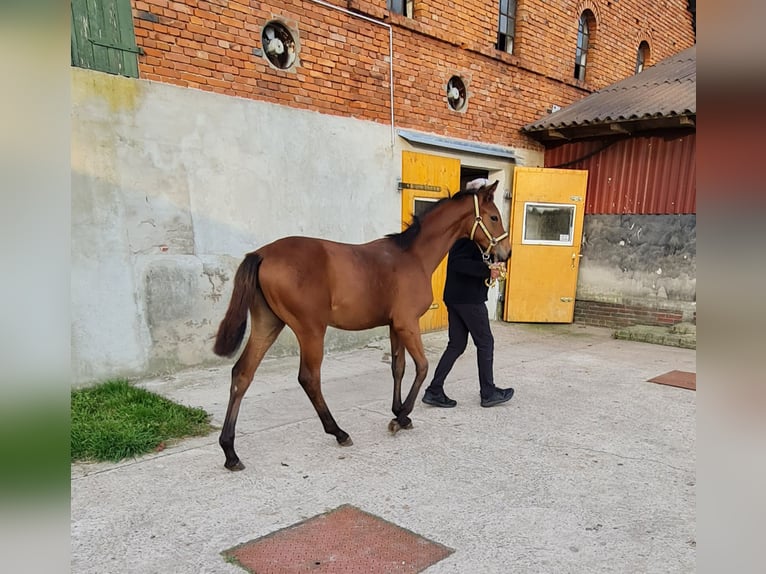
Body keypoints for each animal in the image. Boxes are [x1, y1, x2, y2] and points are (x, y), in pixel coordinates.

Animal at [213, 181, 510, 472]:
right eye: (494, 217)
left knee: (242, 374)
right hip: (310, 329)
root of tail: (261, 254)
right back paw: (338, 432)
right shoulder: (407, 323)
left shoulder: (394, 326)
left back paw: (230, 452)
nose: (505, 254)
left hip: (268, 324)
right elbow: (423, 366)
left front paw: (399, 412)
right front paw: (400, 417)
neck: (412, 256)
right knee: (309, 378)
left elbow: (398, 367)